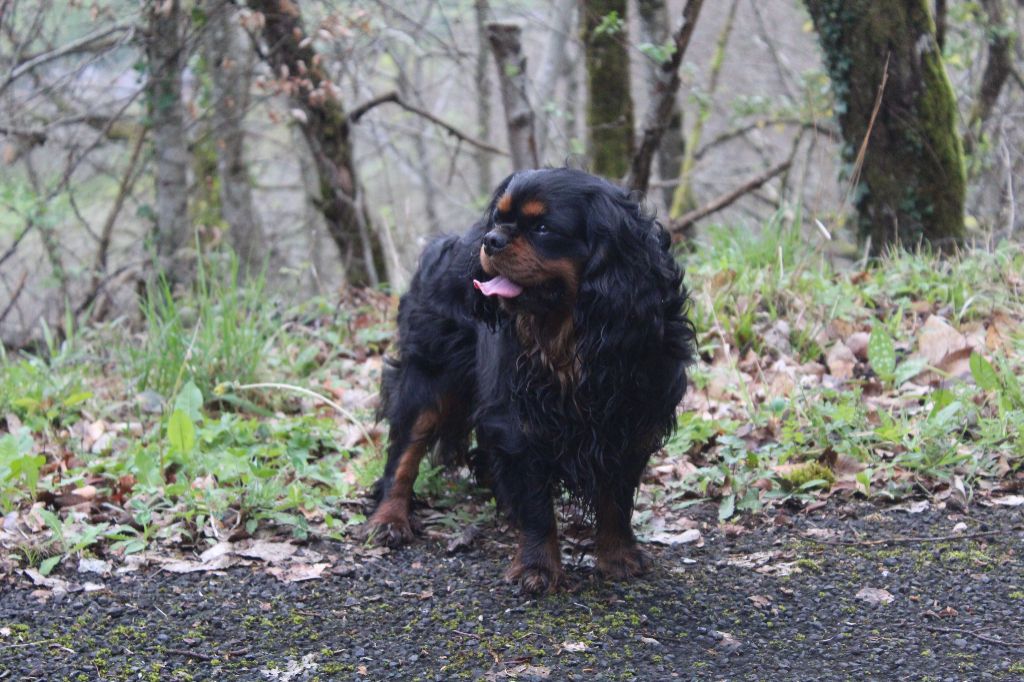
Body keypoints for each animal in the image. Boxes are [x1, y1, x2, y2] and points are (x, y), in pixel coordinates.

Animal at [367, 168, 695, 594]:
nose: (492, 239)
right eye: (499, 220)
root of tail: (445, 242)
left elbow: (616, 498)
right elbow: (536, 504)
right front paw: (537, 566)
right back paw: (389, 519)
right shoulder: (516, 422)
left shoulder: (631, 420)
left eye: (542, 228)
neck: (571, 336)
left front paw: (617, 556)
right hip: (428, 377)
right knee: (403, 453)